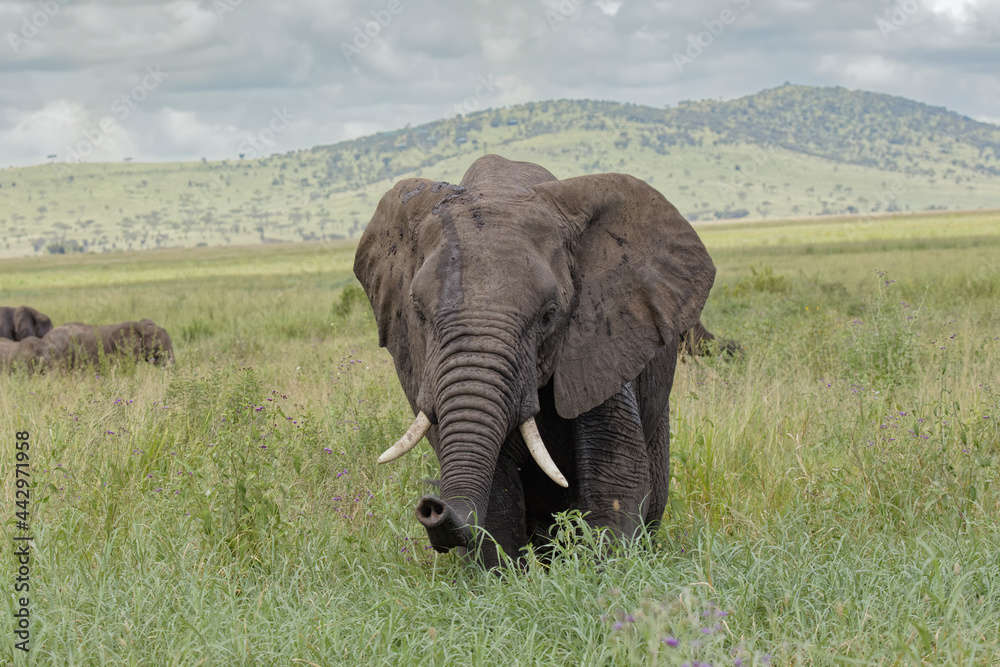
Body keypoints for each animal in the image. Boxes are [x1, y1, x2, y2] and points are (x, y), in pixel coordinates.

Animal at [354, 155, 716, 567]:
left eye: (549, 315)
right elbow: (497, 488)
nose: (432, 506)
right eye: (418, 312)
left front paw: (602, 572)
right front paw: (501, 577)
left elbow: (616, 471)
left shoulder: (602, 337)